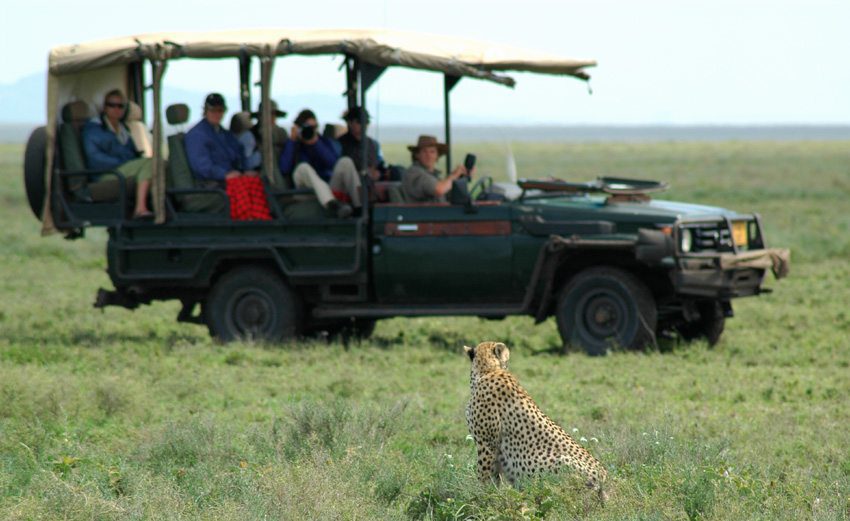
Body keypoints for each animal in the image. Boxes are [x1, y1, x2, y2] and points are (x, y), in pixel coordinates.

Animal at [464, 342, 608, 500]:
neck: (488, 370)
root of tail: (604, 477)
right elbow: (494, 477)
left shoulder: (487, 444)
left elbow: (484, 475)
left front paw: (482, 496)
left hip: (558, 464)